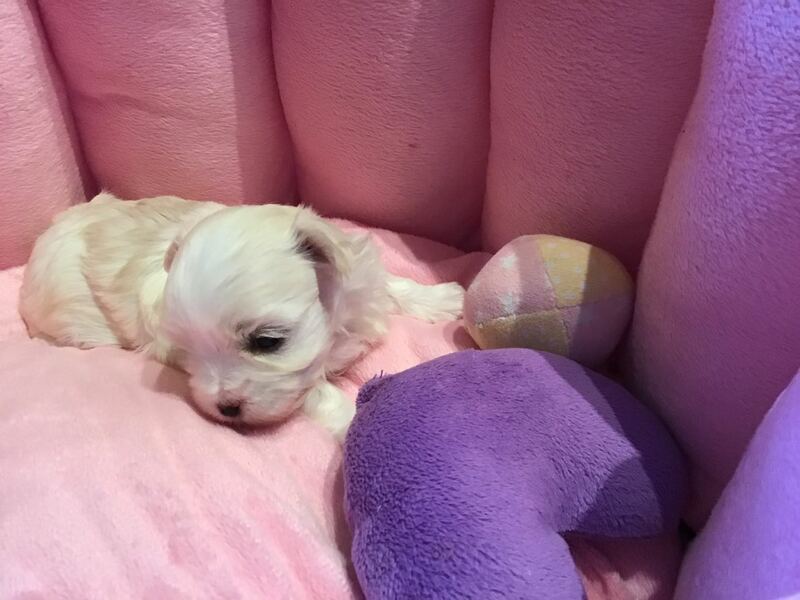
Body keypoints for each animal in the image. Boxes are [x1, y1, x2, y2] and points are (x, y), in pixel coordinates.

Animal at [19, 193, 465, 438]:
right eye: (187, 351)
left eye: (266, 341)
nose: (226, 409)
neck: (337, 324)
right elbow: (317, 392)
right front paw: (356, 420)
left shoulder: (361, 278)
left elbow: (391, 286)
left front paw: (444, 299)